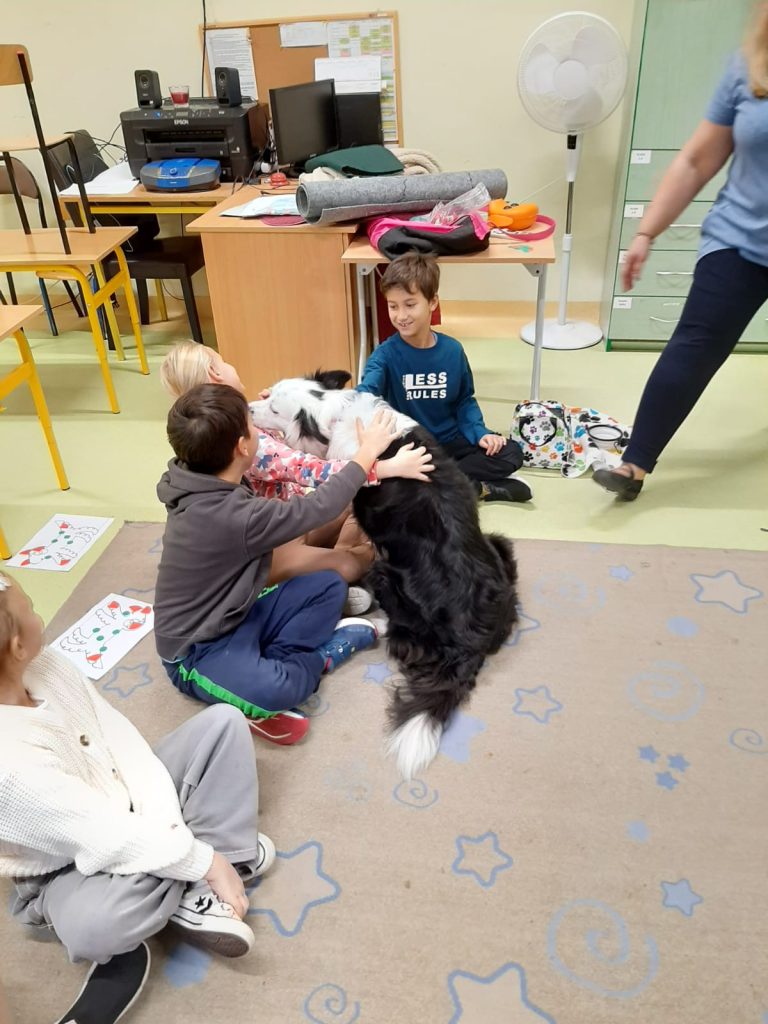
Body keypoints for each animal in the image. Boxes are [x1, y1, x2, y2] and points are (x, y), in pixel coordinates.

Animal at [250, 370, 519, 778]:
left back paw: (371, 622)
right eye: (269, 395)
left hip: (388, 574)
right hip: (500, 546)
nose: (248, 407)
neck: (336, 415)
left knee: (396, 633)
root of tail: (469, 644)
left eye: (274, 407)